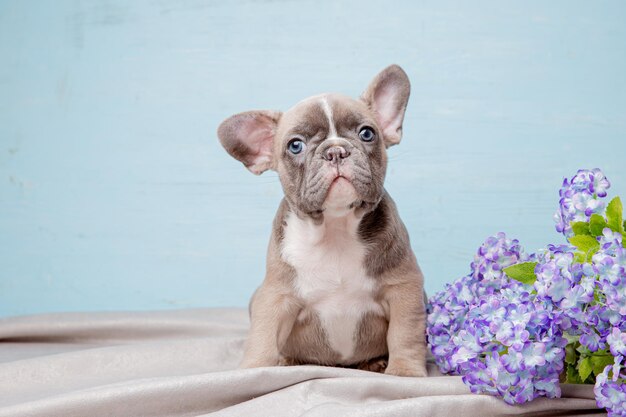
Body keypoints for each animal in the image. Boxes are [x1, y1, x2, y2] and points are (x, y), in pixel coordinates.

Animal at [217, 65, 426, 376]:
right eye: (295, 146)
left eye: (367, 133)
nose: (336, 150)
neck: (335, 228)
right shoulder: (275, 297)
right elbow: (262, 337)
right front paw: (253, 370)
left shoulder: (404, 288)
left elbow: (405, 332)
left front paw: (404, 371)